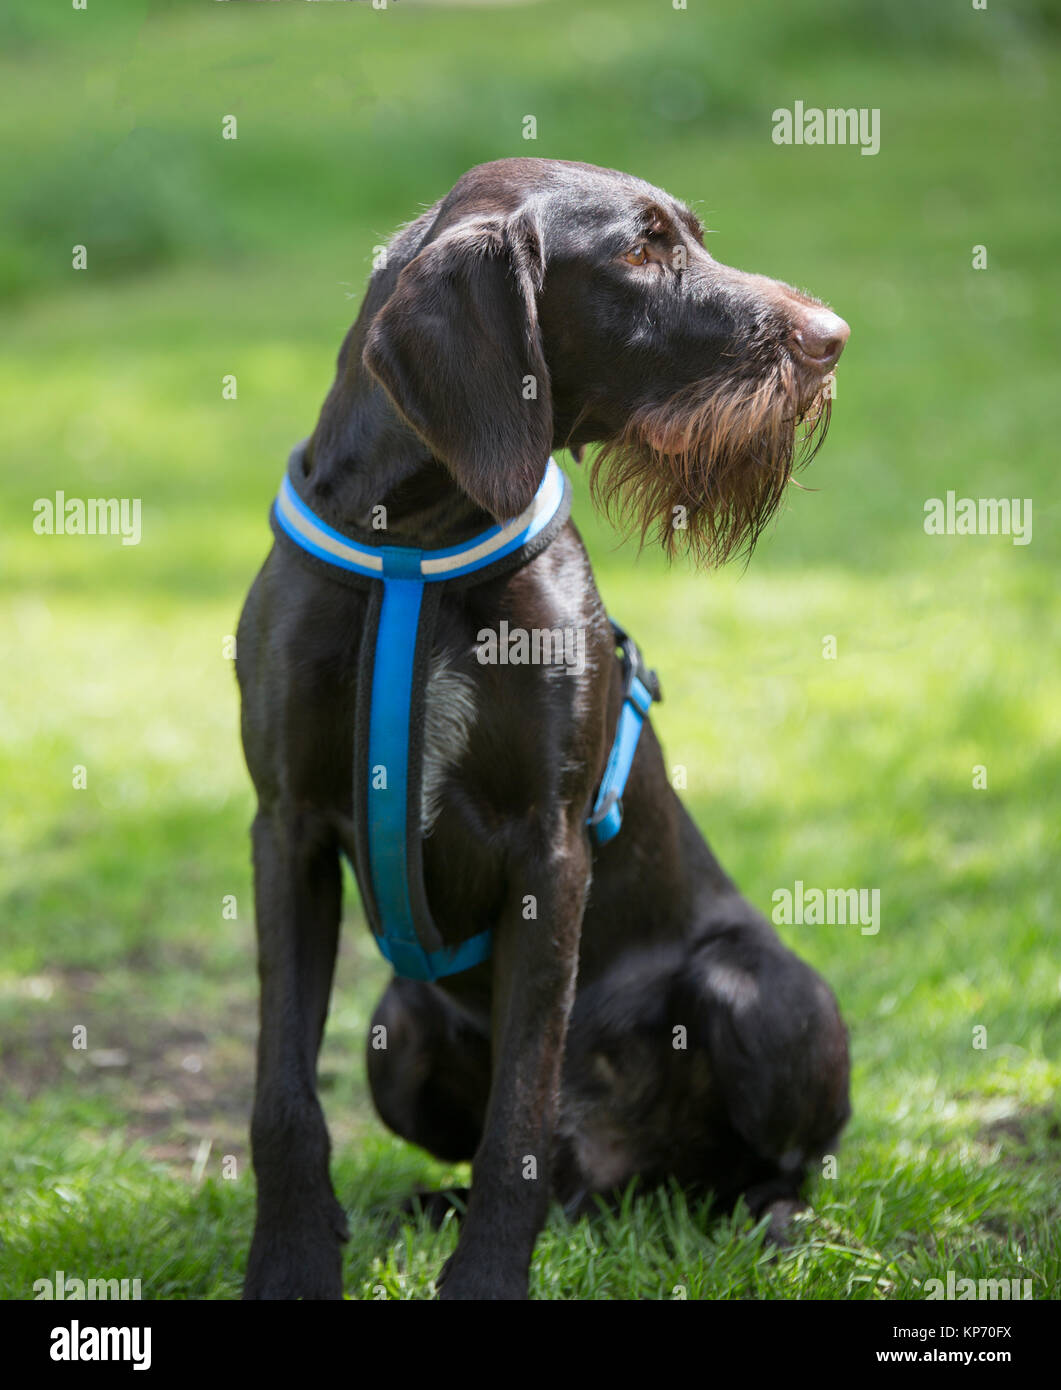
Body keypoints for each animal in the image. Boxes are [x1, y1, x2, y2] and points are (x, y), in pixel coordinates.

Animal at [236, 157, 851, 1295]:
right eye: (642, 249)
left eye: (690, 236)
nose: (832, 337)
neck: (421, 539)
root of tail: (620, 1180)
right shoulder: (285, 827)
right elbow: (283, 1098)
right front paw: (293, 1264)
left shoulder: (548, 847)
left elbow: (516, 1116)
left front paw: (483, 1279)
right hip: (397, 1028)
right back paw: (427, 1207)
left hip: (758, 990)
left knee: (777, 1161)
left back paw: (773, 1220)